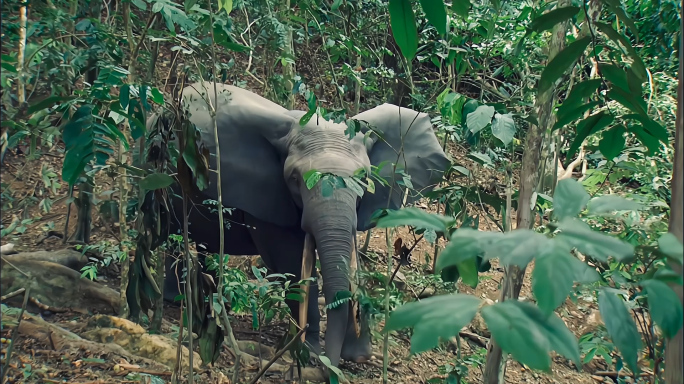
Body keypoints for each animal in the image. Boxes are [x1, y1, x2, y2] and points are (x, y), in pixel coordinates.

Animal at [158, 82, 452, 372]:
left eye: (365, 178)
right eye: (295, 178)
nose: (331, 366)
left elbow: (350, 258)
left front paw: (358, 355)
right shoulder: (269, 195)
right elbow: (290, 261)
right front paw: (309, 354)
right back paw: (176, 300)